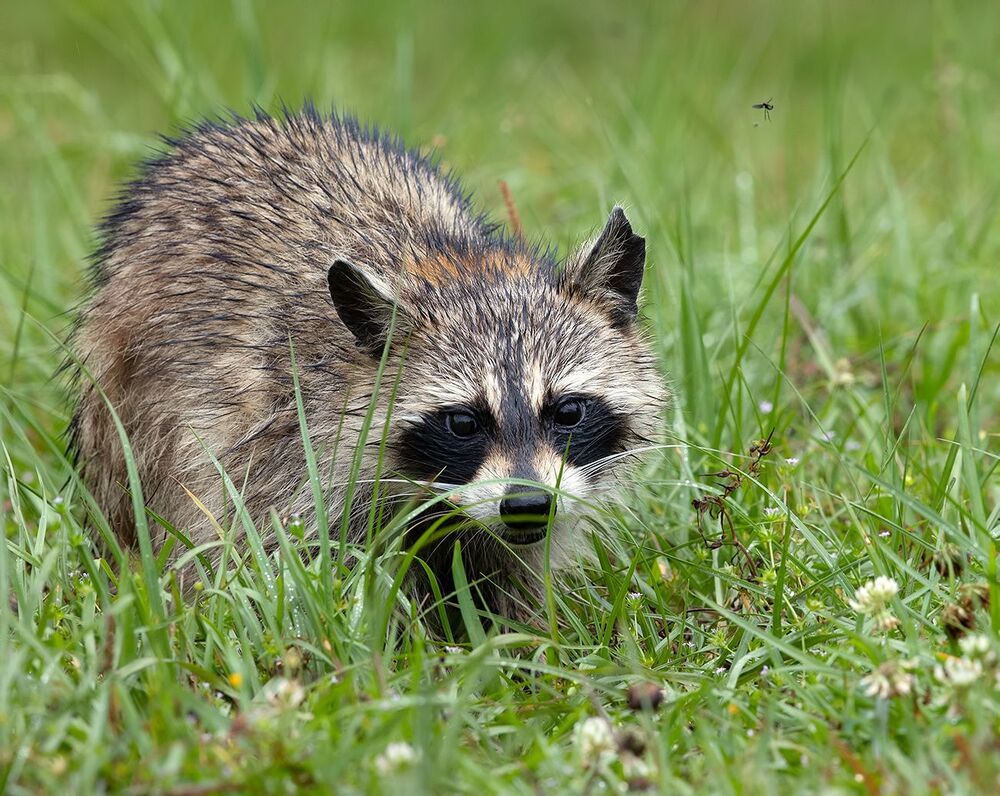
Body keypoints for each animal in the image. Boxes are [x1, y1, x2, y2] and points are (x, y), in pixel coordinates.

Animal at [70, 108, 667, 619]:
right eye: (463, 422)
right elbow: (258, 565)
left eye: (567, 411)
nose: (526, 504)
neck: (457, 269)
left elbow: (506, 581)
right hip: (120, 404)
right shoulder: (276, 457)